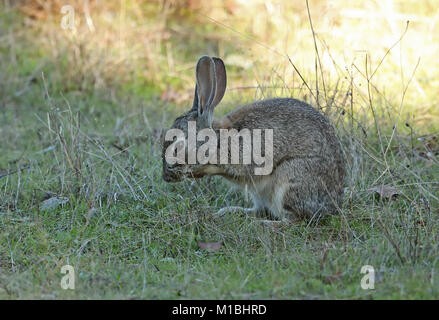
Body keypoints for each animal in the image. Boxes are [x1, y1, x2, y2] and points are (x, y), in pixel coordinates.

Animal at [163, 55, 346, 220]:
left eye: (178, 147)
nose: (166, 177)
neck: (218, 138)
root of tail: (333, 205)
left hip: (289, 179)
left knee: (292, 220)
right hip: (259, 193)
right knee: (261, 210)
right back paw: (229, 212)